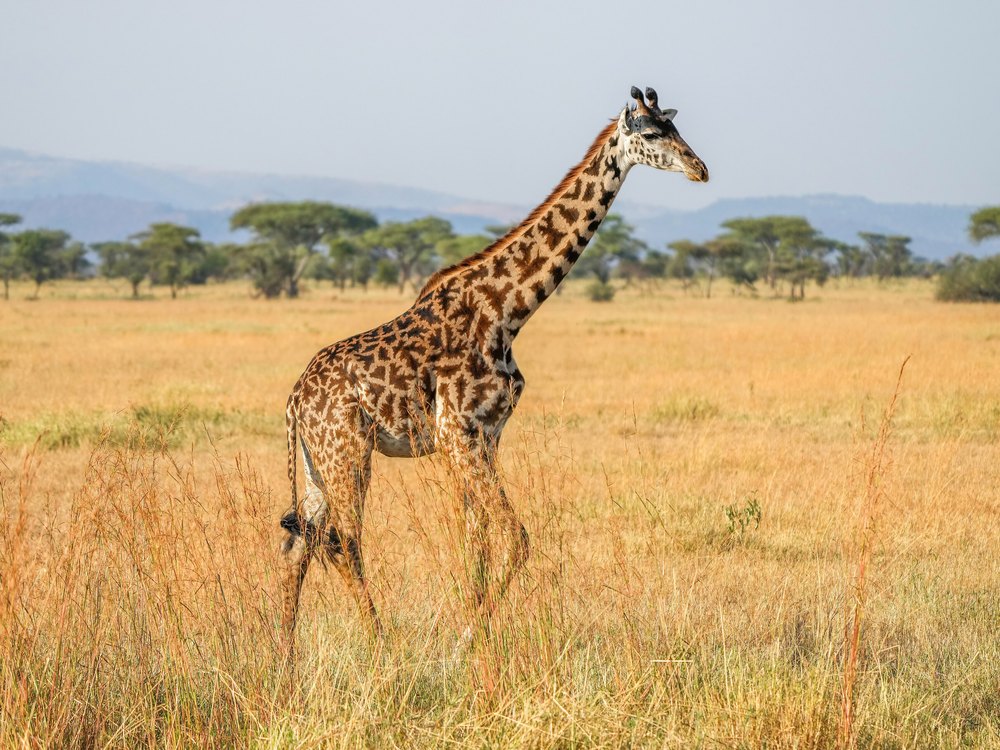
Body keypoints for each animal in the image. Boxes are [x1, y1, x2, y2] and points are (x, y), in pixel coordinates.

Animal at [279, 85, 708, 654]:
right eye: (654, 133)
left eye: (677, 128)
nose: (700, 169)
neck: (508, 311)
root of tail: (294, 400)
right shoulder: (459, 434)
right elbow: (516, 538)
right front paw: (468, 636)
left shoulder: (485, 436)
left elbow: (476, 543)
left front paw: (474, 634)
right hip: (348, 451)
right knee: (343, 544)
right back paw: (380, 644)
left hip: (314, 462)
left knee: (296, 547)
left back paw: (284, 654)